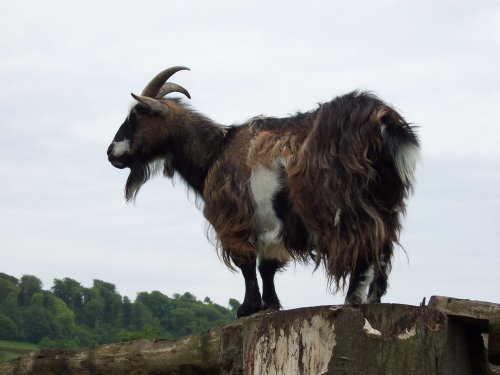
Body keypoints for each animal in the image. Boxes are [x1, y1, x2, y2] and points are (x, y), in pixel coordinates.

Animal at [107, 67, 420, 318]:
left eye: (138, 113)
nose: (111, 153)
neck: (216, 151)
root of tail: (382, 118)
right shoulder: (271, 224)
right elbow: (266, 267)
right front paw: (269, 304)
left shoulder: (235, 218)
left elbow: (246, 263)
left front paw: (247, 308)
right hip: (386, 203)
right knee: (382, 249)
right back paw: (374, 300)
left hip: (345, 202)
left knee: (363, 247)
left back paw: (351, 301)